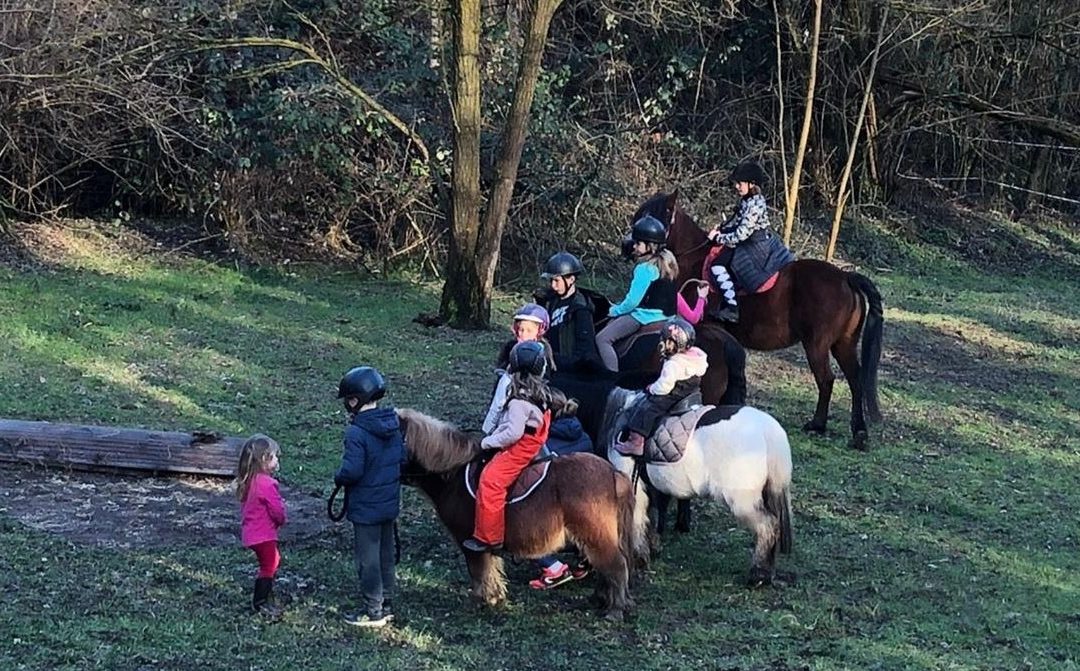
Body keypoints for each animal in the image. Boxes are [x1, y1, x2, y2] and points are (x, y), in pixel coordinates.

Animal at [399, 401, 648, 618]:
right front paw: (495, 598)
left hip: (597, 537)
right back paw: (602, 599)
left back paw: (614, 610)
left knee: (616, 566)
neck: (453, 473)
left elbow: (478, 572)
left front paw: (480, 601)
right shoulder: (485, 546)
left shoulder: (469, 543)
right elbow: (492, 570)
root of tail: (613, 473)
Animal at [591, 386, 794, 587]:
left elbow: (639, 521)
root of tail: (768, 429)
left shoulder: (635, 488)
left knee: (767, 526)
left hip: (742, 502)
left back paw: (758, 576)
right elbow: (653, 516)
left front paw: (640, 558)